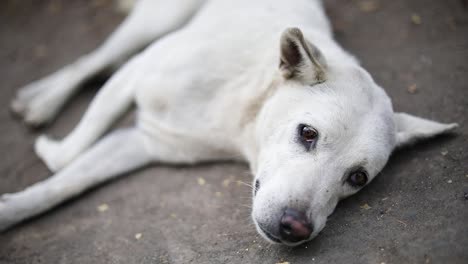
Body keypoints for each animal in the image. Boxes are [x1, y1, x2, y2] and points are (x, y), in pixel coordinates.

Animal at [0, 0, 458, 245]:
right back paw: (42, 99)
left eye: (358, 178)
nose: (295, 229)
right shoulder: (136, 72)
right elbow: (63, 160)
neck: (241, 110)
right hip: (158, 21)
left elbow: (61, 186)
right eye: (307, 134)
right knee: (96, 59)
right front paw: (49, 146)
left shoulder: (146, 143)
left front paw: (10, 211)